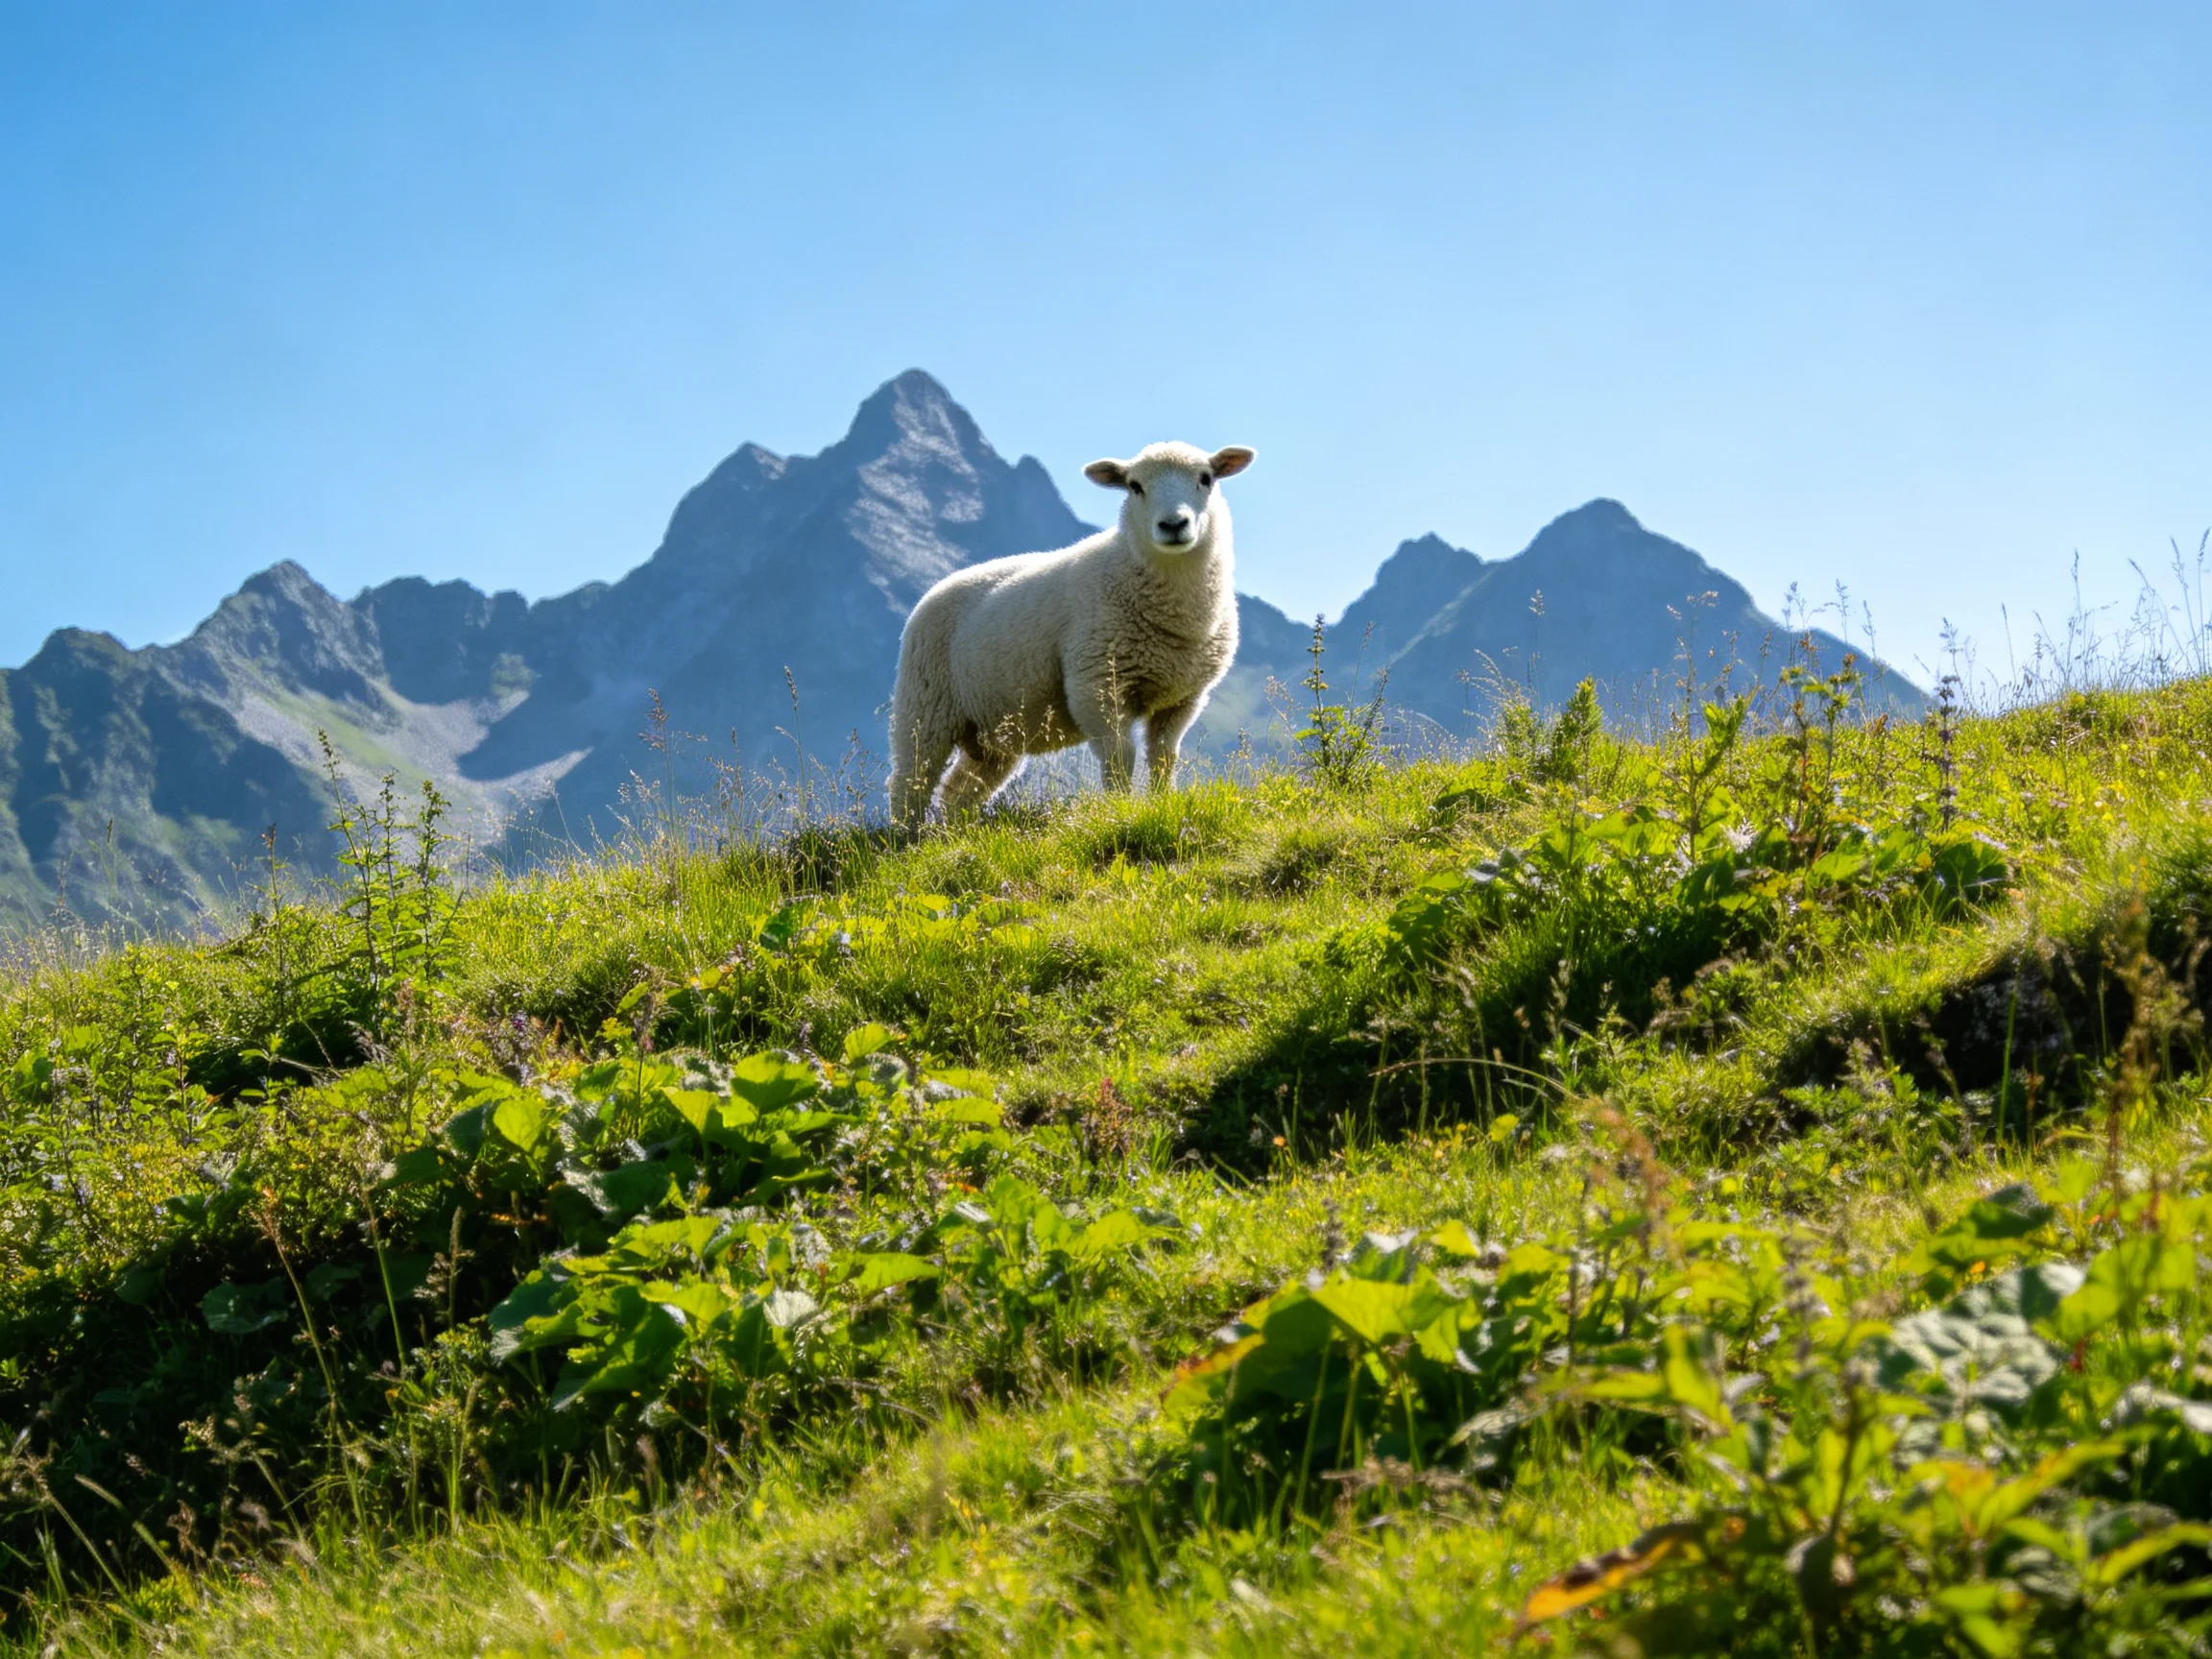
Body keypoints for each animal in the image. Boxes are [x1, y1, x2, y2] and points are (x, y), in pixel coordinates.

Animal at [887, 441, 1256, 827]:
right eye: (1134, 486)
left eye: (1206, 478)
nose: (1173, 525)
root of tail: (935, 590)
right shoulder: (1095, 684)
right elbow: (1119, 754)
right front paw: (1119, 809)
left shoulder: (1184, 696)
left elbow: (1164, 755)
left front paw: (1161, 803)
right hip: (925, 704)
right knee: (911, 780)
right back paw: (907, 835)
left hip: (994, 732)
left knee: (959, 790)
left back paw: (955, 831)